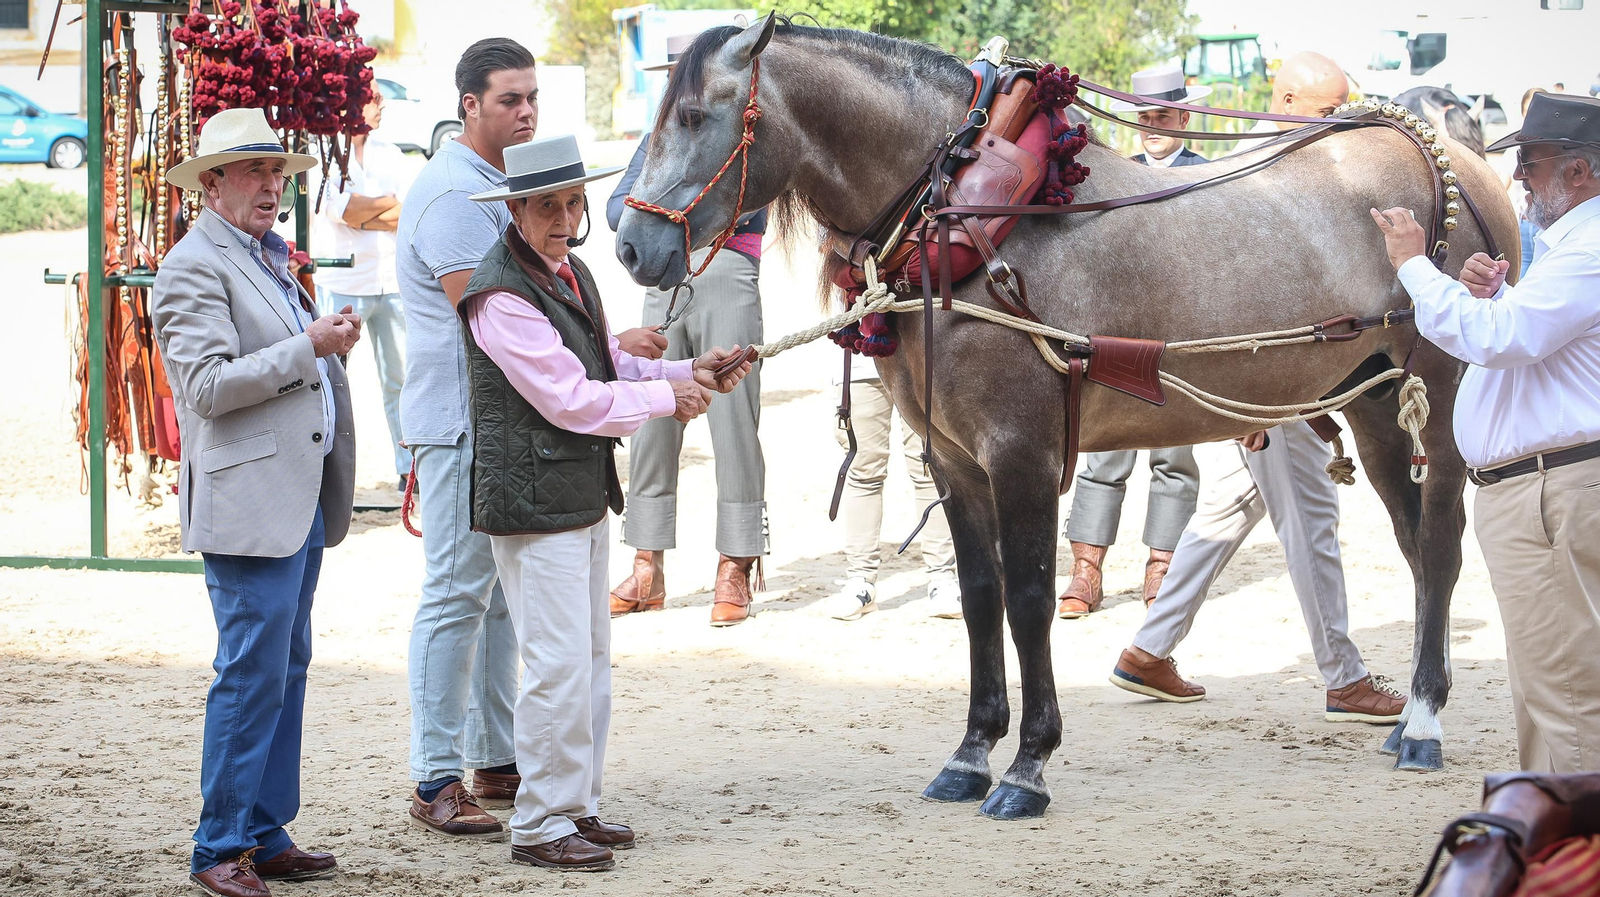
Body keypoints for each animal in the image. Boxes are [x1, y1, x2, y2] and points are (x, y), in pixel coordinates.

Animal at [615, 16, 1520, 819]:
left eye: (694, 116)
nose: (626, 245)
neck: (969, 218)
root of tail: (1452, 161)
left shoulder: (1022, 453)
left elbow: (1029, 601)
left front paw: (1028, 765)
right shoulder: (953, 460)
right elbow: (980, 598)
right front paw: (970, 753)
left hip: (1441, 398)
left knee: (1441, 547)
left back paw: (1425, 722)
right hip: (1374, 403)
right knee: (1415, 546)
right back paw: (1407, 713)